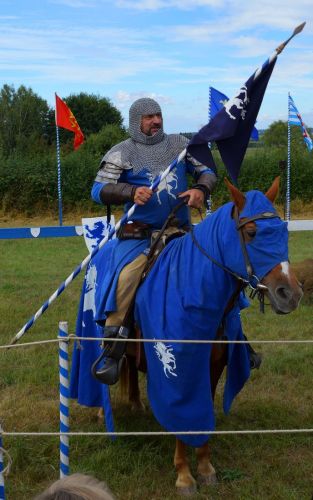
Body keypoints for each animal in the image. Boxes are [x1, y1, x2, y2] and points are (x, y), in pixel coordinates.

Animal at [70, 177, 302, 496]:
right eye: (252, 233)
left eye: (283, 233)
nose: (290, 294)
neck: (195, 289)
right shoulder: (180, 373)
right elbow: (183, 418)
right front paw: (184, 475)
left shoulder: (212, 368)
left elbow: (201, 416)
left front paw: (204, 467)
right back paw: (100, 410)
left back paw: (136, 403)